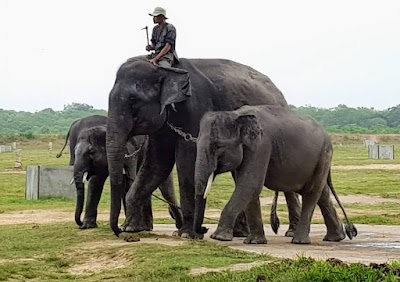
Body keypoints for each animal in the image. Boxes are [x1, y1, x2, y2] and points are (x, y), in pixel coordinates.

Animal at [105, 54, 300, 236]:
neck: (164, 69)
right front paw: (131, 229)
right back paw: (241, 233)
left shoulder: (195, 108)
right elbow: (157, 163)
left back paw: (290, 232)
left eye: (133, 101)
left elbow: (186, 160)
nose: (117, 230)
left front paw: (185, 234)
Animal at [192, 104, 358, 243]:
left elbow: (250, 184)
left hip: (324, 155)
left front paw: (219, 238)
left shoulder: (261, 145)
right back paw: (335, 238)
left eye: (218, 146)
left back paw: (300, 241)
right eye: (196, 143)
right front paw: (254, 242)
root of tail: (327, 134)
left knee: (311, 192)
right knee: (322, 193)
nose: (203, 230)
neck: (236, 115)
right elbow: (248, 187)